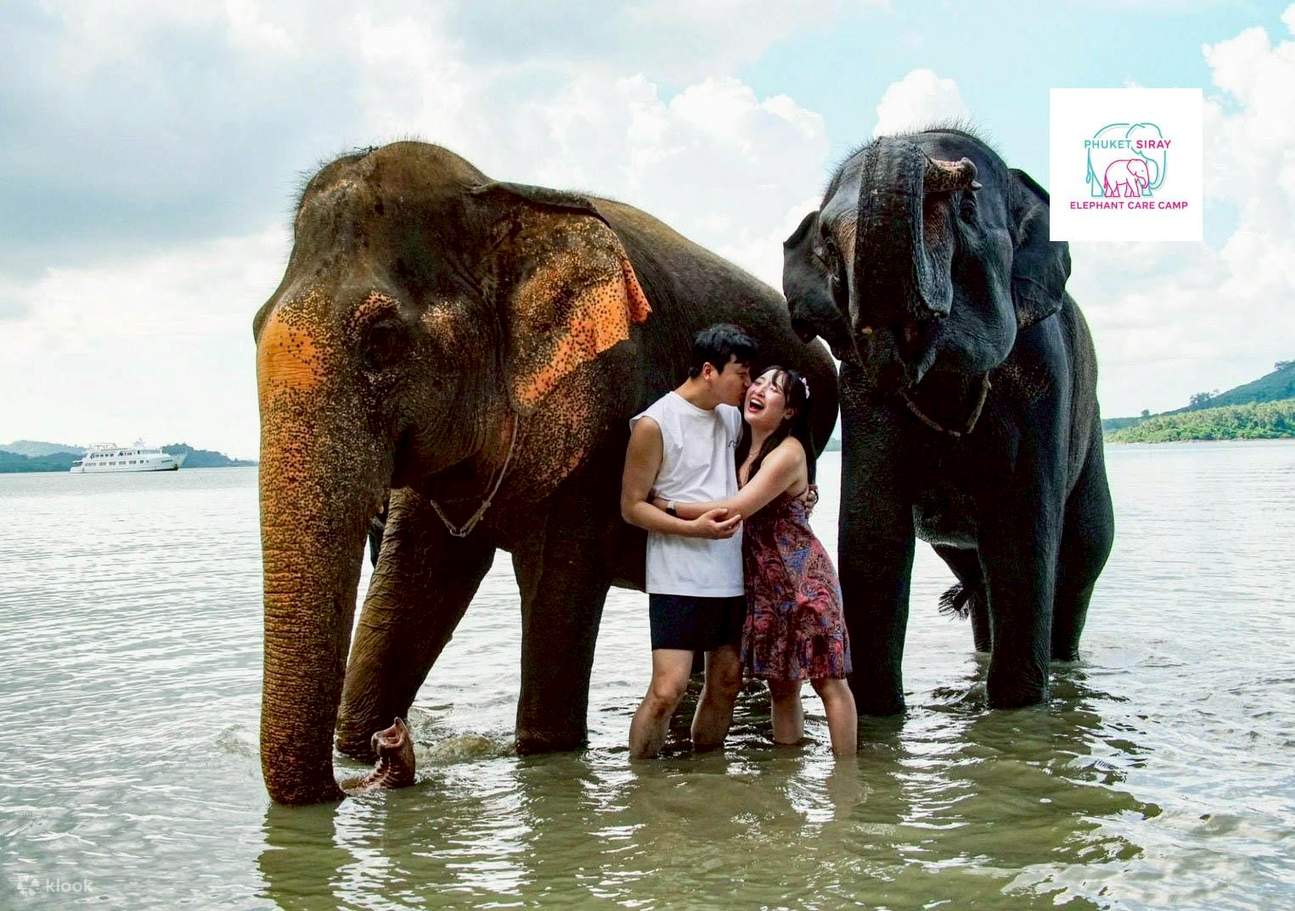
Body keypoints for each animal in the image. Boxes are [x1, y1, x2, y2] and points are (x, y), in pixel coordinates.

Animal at [253, 141, 838, 805]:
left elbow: (556, 599)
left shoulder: (604, 424)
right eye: (254, 324)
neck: (500, 197)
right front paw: (359, 735)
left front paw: (540, 747)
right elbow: (416, 581)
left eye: (381, 340)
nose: (392, 748)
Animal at [782, 127, 1114, 715]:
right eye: (827, 246)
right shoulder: (859, 388)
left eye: (966, 209)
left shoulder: (1043, 374)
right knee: (978, 573)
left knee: (1081, 554)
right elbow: (873, 536)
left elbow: (1022, 531)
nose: (956, 167)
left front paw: (1017, 710)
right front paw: (877, 714)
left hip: (1091, 429)